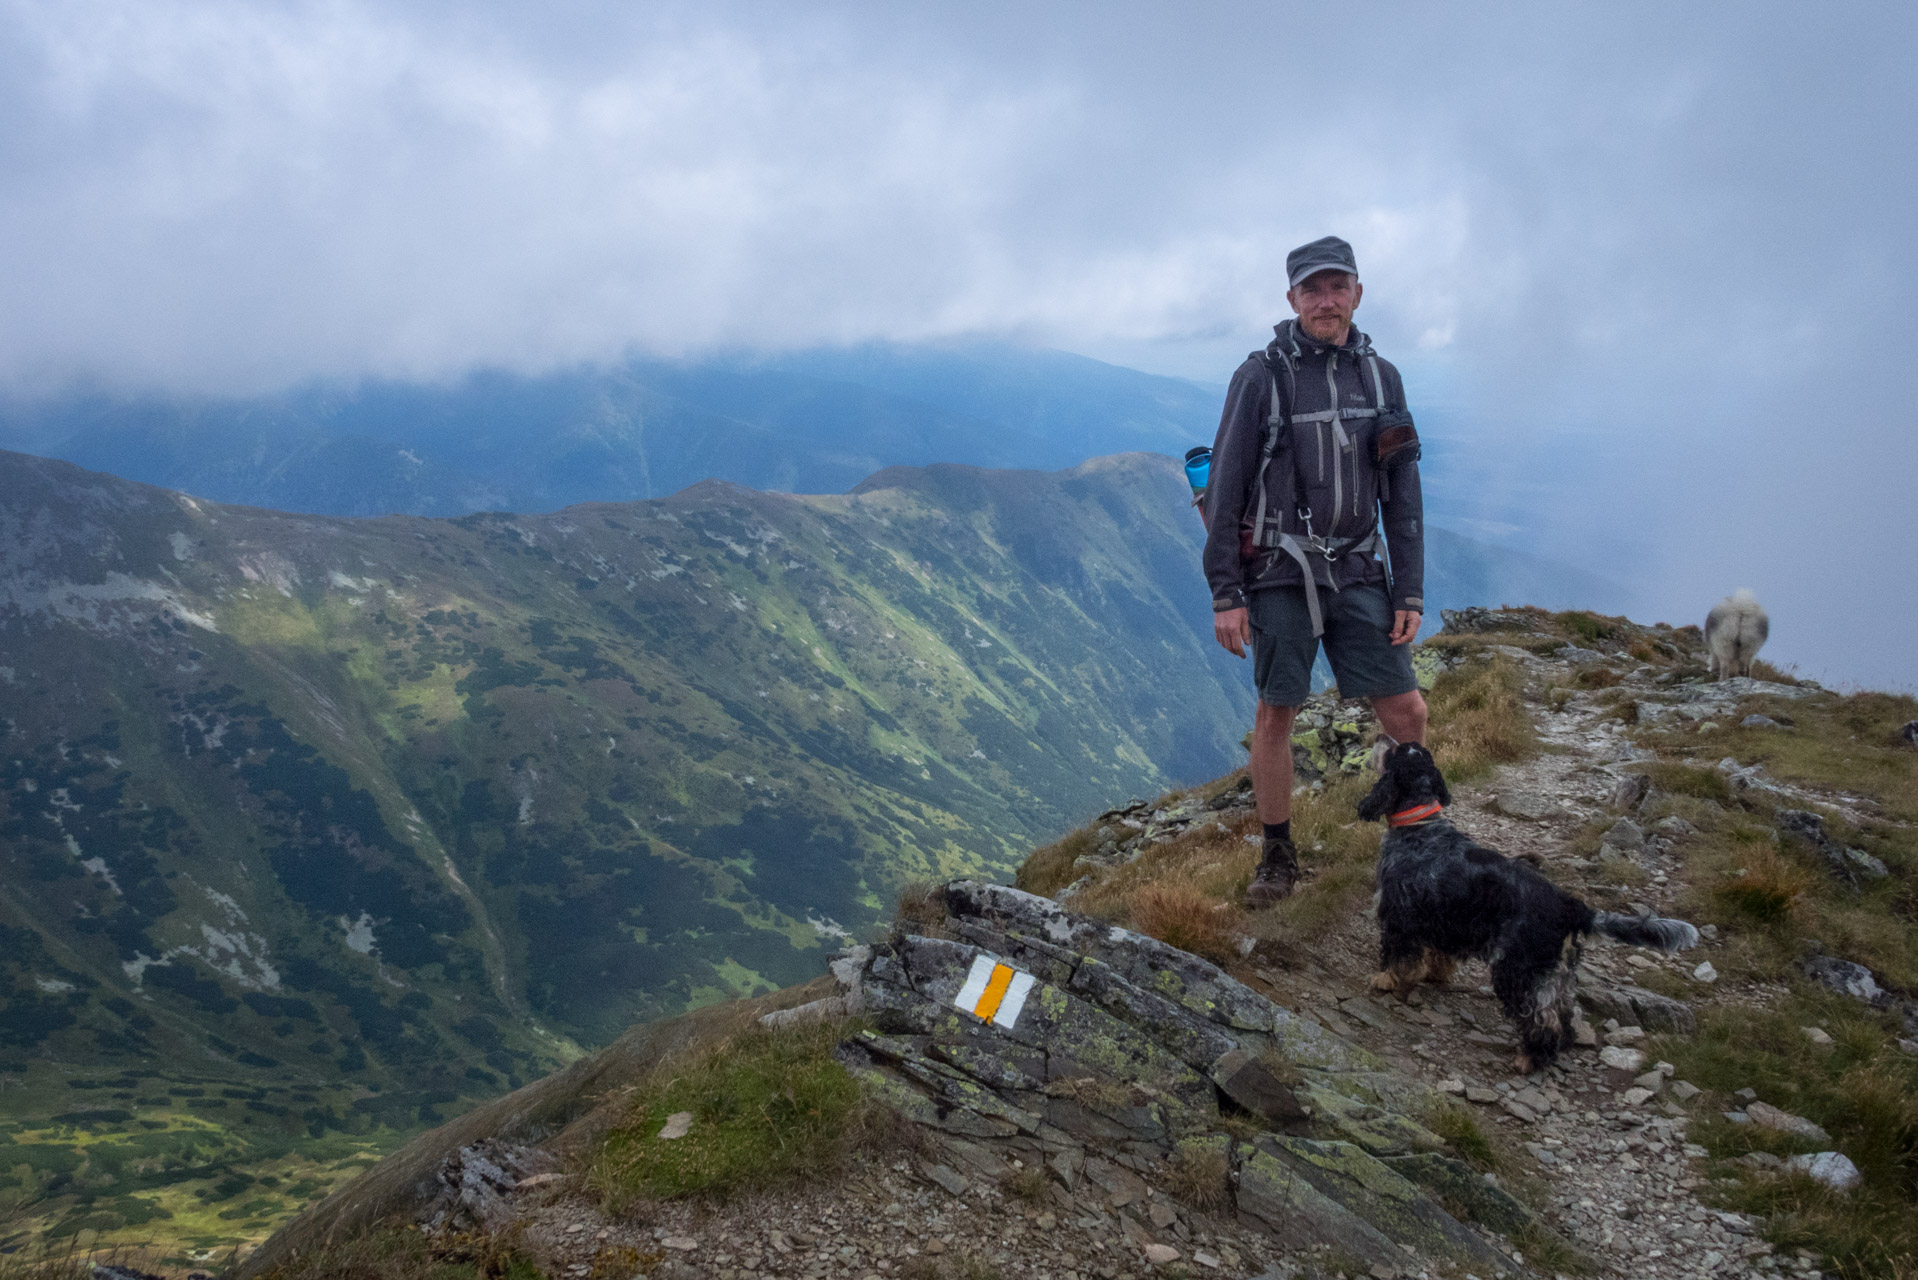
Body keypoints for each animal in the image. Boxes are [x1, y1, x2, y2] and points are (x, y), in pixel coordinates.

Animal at [1357, 736, 1703, 1074]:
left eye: (1393, 752)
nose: (1380, 735)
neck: (1421, 826)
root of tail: (1571, 906)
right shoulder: (1443, 921)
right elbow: (1437, 955)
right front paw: (1433, 975)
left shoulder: (1399, 915)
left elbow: (1398, 957)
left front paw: (1385, 981)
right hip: (1558, 970)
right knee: (1562, 1009)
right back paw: (1560, 1045)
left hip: (1518, 967)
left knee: (1541, 1016)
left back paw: (1529, 1059)